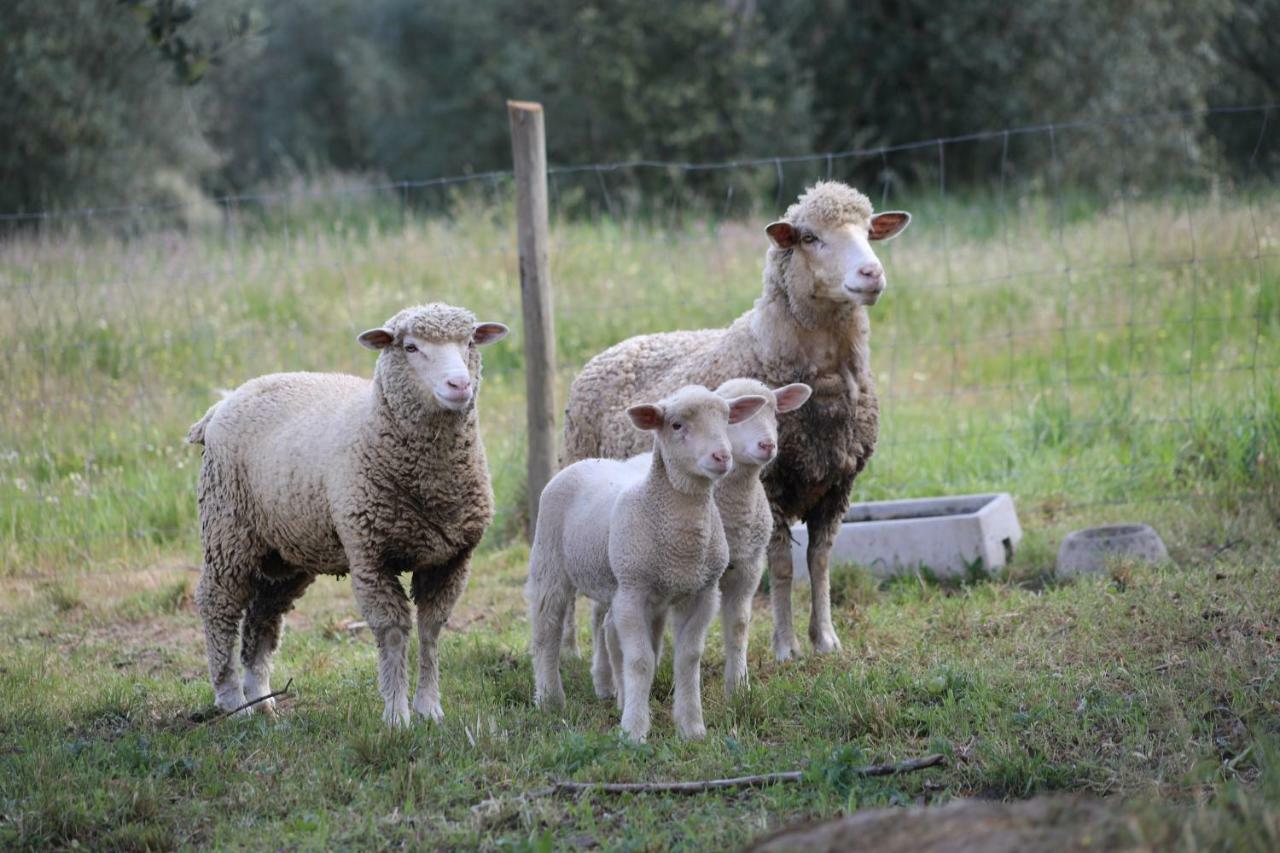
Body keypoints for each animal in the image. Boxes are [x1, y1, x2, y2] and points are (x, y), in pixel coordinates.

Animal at [186, 298, 506, 722]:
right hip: (228, 528)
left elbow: (432, 629)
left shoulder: (451, 558)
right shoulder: (370, 554)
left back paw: (263, 700)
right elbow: (392, 631)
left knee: (263, 616)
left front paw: (429, 709)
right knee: (218, 604)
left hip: (286, 552)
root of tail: (225, 401)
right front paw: (397, 715)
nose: (459, 385)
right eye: (410, 347)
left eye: (470, 342)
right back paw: (233, 701)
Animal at [563, 179, 911, 655]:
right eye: (809, 237)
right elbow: (782, 566)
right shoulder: (772, 487)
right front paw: (786, 647)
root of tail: (618, 347)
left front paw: (825, 639)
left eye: (868, 230)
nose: (871, 274)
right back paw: (569, 648)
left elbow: (819, 561)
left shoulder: (837, 485)